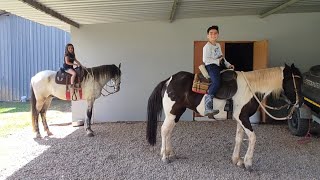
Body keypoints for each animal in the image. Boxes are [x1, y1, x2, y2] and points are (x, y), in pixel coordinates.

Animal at [148, 64, 302, 171]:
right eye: (295, 82)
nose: (300, 103)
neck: (251, 88)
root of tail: (168, 80)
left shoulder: (241, 119)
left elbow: (239, 138)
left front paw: (237, 160)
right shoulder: (243, 117)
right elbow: (252, 138)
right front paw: (248, 163)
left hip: (176, 113)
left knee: (169, 131)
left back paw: (171, 154)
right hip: (172, 112)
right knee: (164, 130)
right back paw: (165, 157)